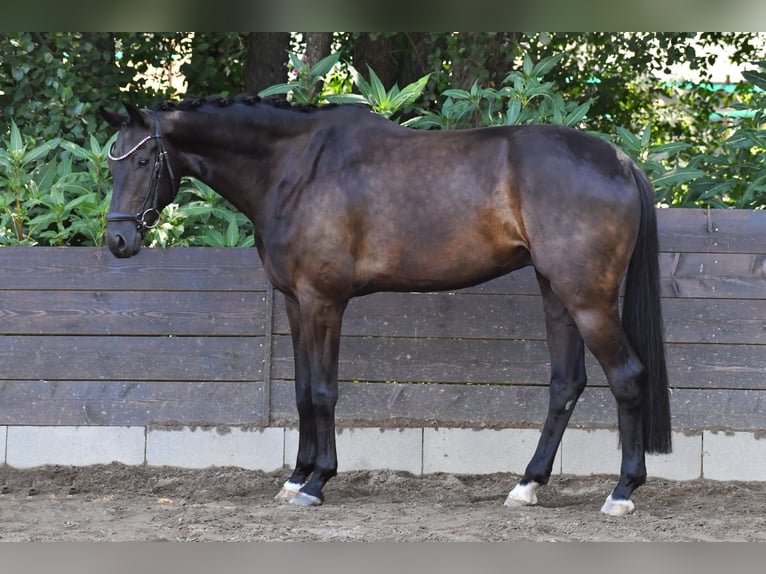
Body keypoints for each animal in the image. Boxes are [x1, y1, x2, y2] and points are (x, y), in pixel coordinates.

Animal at [100, 95, 671, 516]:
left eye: (145, 159)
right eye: (113, 167)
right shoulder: (294, 303)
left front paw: (318, 482)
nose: (118, 242)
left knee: (627, 377)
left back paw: (621, 493)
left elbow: (324, 391)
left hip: (588, 300)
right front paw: (296, 477)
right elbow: (301, 391)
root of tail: (620, 161)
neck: (297, 167)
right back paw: (527, 485)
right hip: (556, 293)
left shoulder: (324, 301)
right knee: (565, 384)